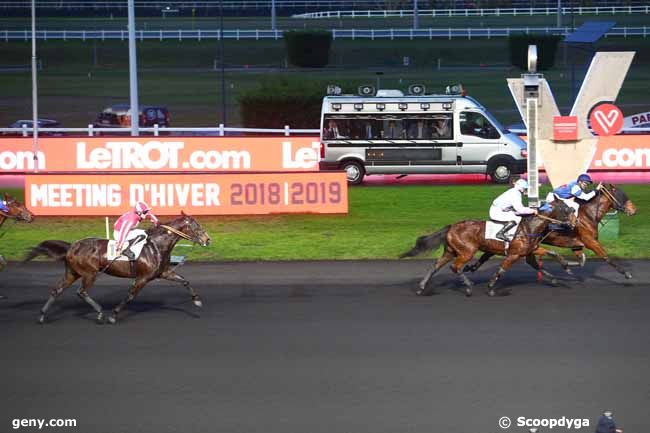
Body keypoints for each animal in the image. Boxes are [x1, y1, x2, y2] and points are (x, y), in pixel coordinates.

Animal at [24, 211, 210, 322]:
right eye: (196, 226)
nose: (208, 240)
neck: (156, 245)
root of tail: (72, 246)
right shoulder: (142, 278)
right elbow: (130, 295)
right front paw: (113, 315)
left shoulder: (162, 272)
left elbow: (184, 281)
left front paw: (197, 300)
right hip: (89, 274)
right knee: (81, 292)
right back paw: (100, 312)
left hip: (72, 273)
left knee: (57, 290)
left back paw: (42, 316)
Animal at [400, 200, 572, 296]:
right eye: (566, 209)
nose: (572, 224)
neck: (530, 227)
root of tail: (451, 227)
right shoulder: (513, 255)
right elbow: (501, 270)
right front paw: (490, 288)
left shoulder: (529, 251)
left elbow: (550, 255)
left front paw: (564, 270)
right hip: (467, 251)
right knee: (456, 267)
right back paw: (468, 287)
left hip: (450, 251)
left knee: (436, 266)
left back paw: (421, 287)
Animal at [464, 183, 636, 278]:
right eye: (622, 195)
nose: (634, 210)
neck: (587, 215)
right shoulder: (590, 241)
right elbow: (605, 257)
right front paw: (626, 273)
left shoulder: (576, 244)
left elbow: (581, 260)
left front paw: (568, 265)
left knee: (489, 252)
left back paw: (471, 267)